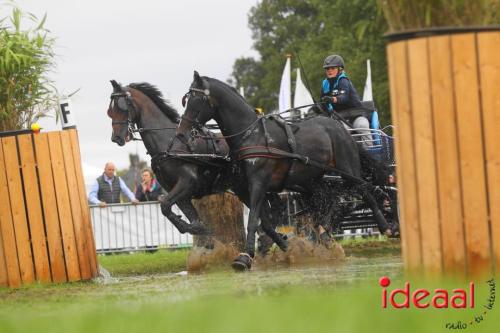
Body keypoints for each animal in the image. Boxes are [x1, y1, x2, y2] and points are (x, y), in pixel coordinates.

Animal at [107, 80, 288, 246]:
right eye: (110, 111)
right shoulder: (174, 189)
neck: (170, 144)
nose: (116, 138)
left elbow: (165, 204)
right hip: (243, 187)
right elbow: (176, 211)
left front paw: (191, 227)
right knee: (268, 211)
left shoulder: (188, 181)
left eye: (122, 107)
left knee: (273, 207)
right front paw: (197, 228)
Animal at [180, 71, 394, 268]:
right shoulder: (244, 187)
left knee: (365, 191)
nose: (182, 133)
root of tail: (342, 128)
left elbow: (254, 220)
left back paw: (386, 227)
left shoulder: (259, 183)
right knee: (332, 200)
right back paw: (324, 235)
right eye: (186, 100)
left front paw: (245, 257)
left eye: (197, 100)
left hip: (347, 170)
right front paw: (285, 247)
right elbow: (265, 222)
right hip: (312, 180)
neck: (251, 134)